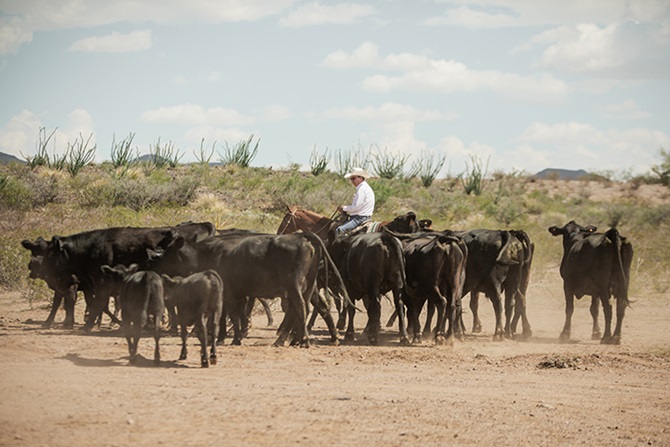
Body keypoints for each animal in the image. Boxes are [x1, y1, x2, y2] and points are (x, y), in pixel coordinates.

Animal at [21, 222, 215, 330]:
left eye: (49, 253)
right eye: (35, 251)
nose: (33, 266)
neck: (91, 248)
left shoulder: (96, 283)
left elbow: (96, 305)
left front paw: (85, 324)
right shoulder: (88, 284)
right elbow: (96, 305)